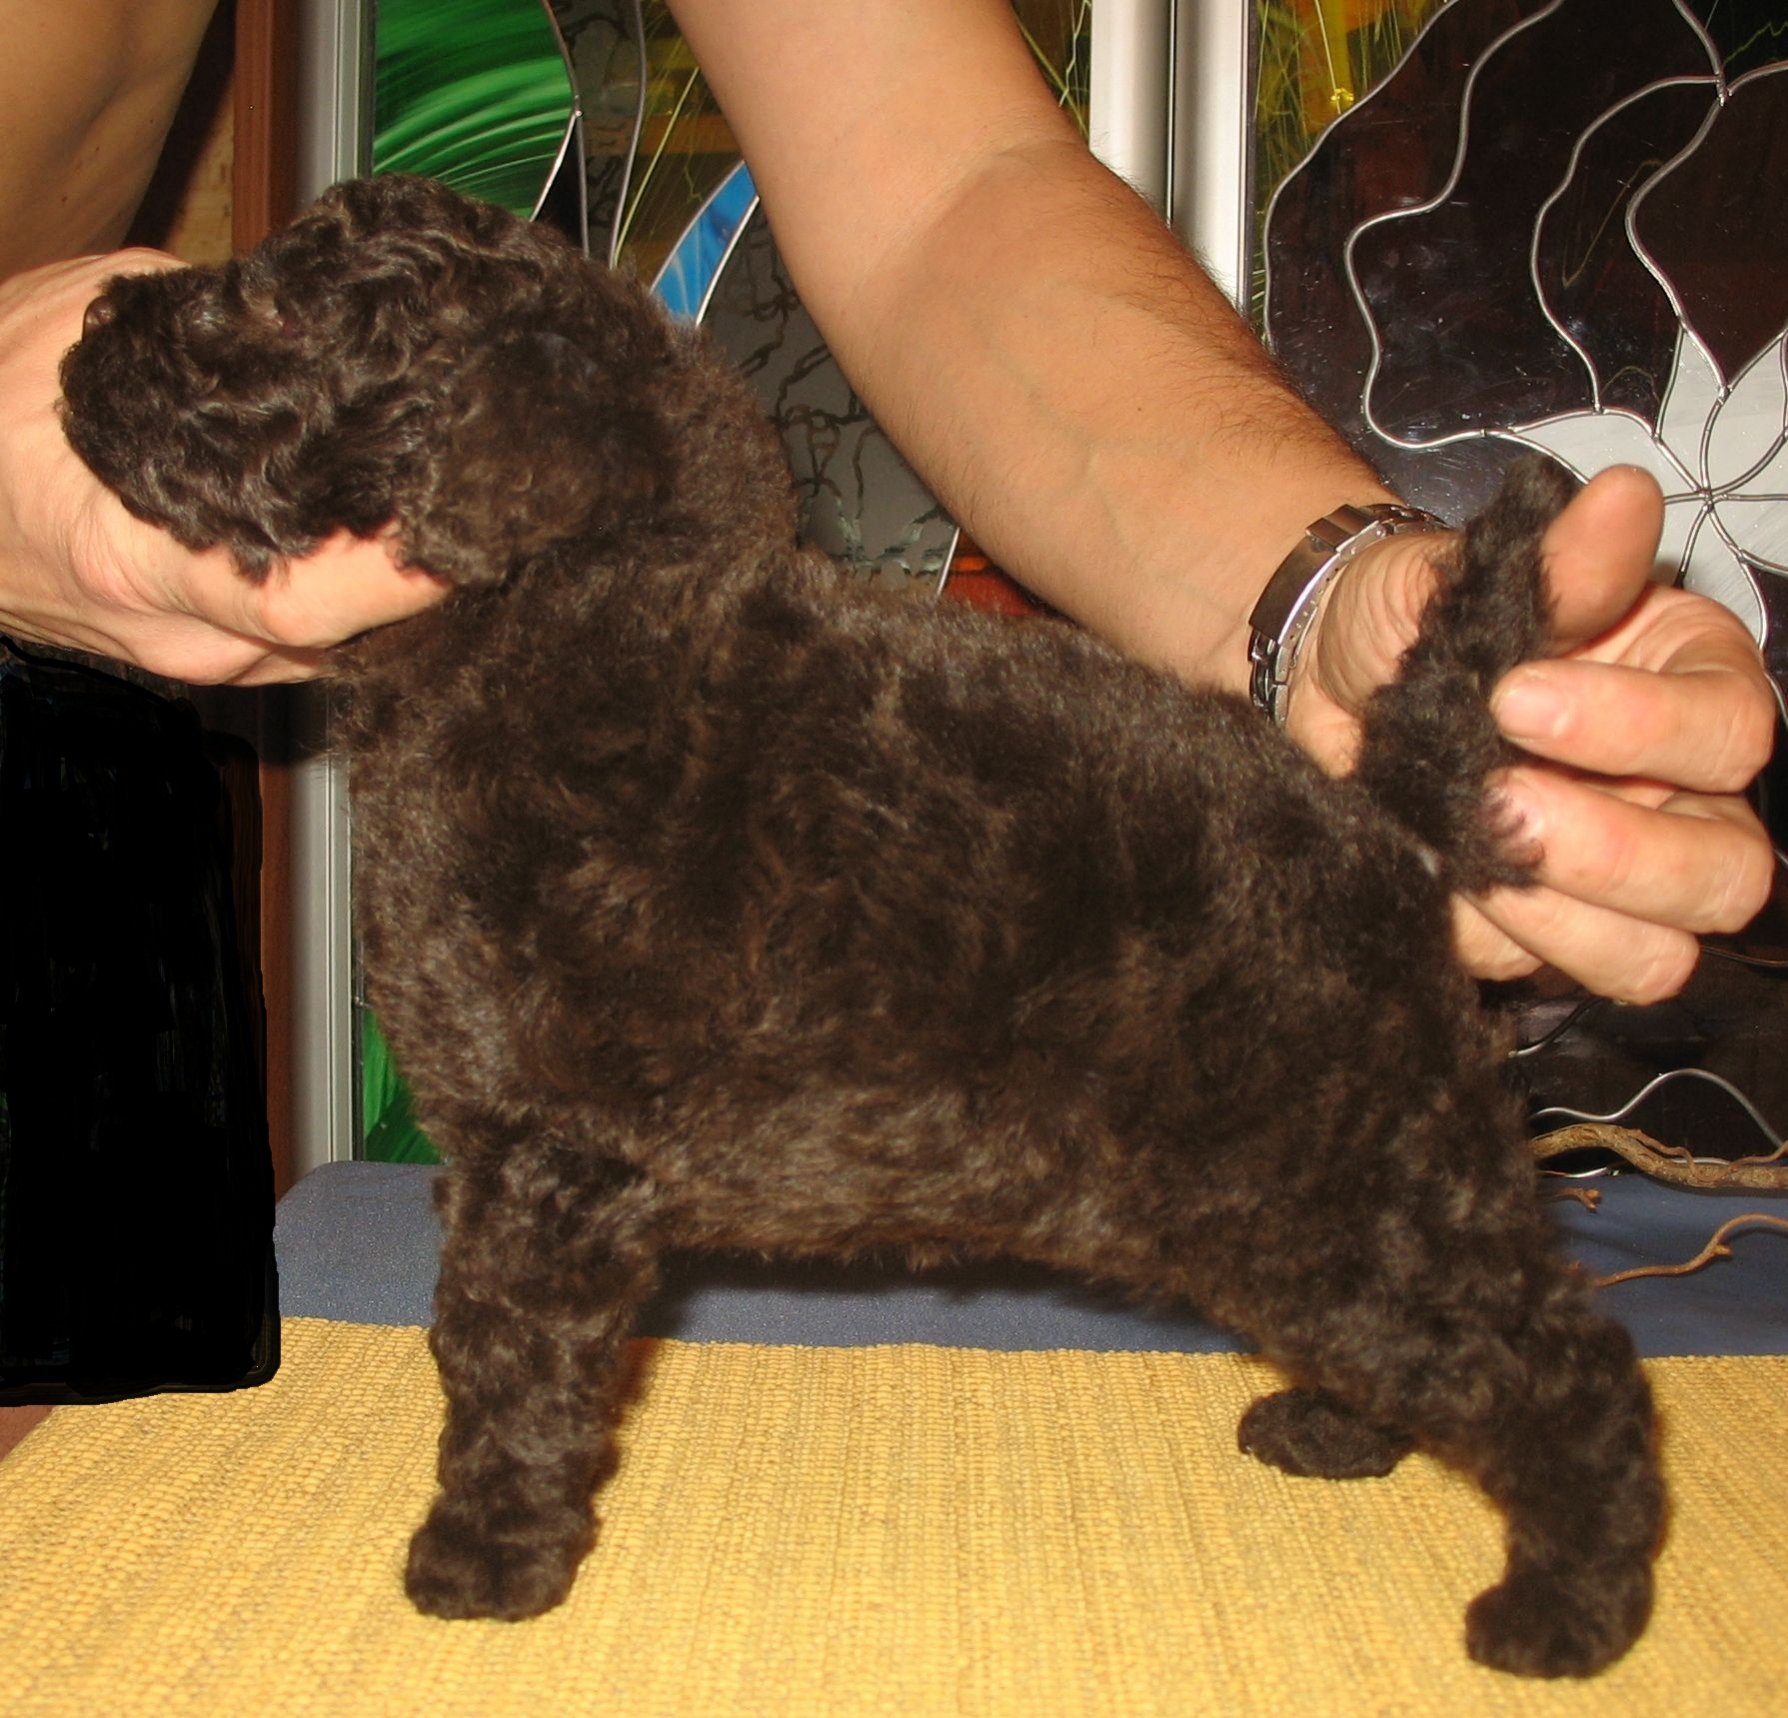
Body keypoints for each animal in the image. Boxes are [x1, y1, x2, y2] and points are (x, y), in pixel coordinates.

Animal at [61, 176, 1661, 1677]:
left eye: (272, 308)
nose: (81, 329)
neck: (549, 603)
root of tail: (1385, 819)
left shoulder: (545, 1164)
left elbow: (503, 1367)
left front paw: (484, 1557)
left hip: (1350, 1182)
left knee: (1565, 1372)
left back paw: (1568, 1609)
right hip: (1318, 1213)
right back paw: (1341, 1432)